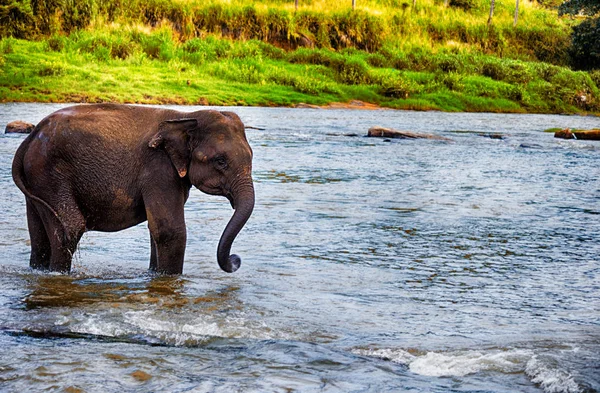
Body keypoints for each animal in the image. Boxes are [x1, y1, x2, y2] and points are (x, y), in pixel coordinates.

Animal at [11, 104, 254, 276]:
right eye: (221, 161)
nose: (236, 260)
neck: (186, 115)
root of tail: (29, 138)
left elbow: (156, 229)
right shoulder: (158, 168)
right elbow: (170, 230)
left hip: (38, 179)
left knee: (39, 235)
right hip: (50, 174)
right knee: (69, 229)